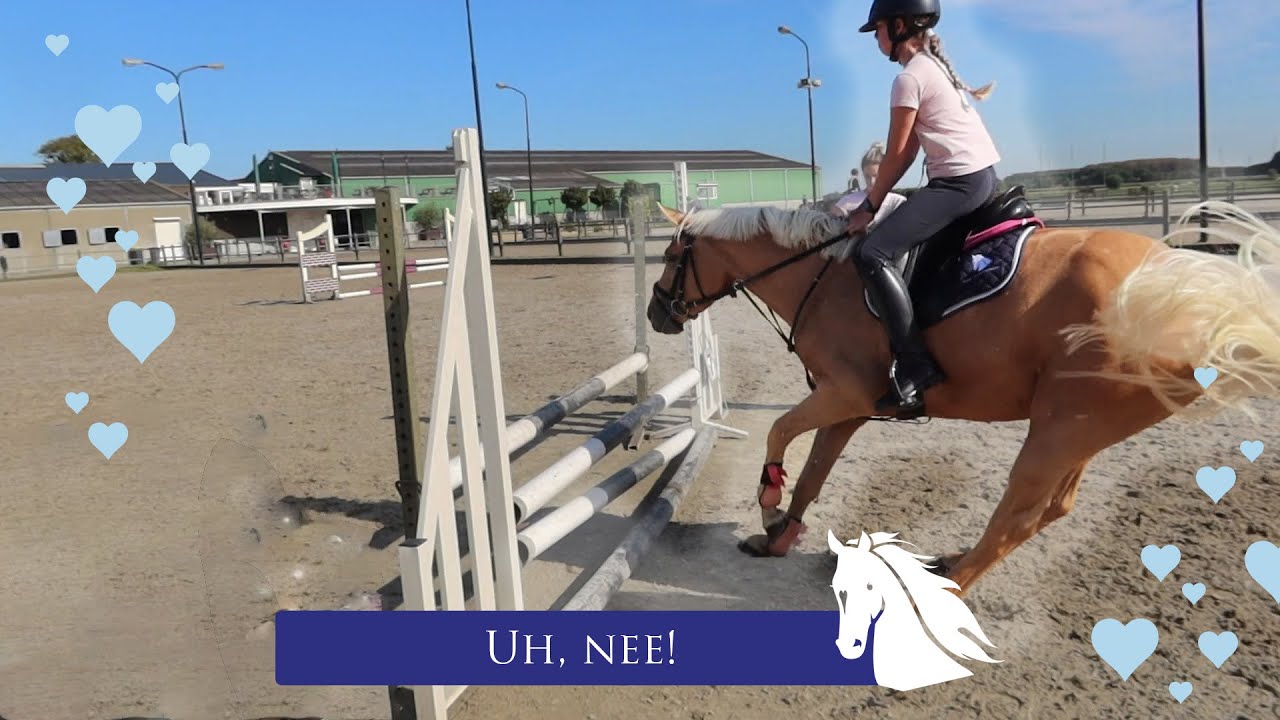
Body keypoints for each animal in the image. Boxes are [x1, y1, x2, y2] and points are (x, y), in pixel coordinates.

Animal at [646, 194, 1280, 598]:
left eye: (674, 257)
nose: (657, 315)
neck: (821, 279)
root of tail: (1192, 298)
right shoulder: (851, 406)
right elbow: (814, 471)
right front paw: (779, 536)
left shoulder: (842, 394)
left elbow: (779, 432)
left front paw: (771, 507)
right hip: (1079, 429)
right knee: (1053, 507)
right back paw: (952, 563)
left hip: (1061, 426)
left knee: (1019, 515)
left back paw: (952, 586)